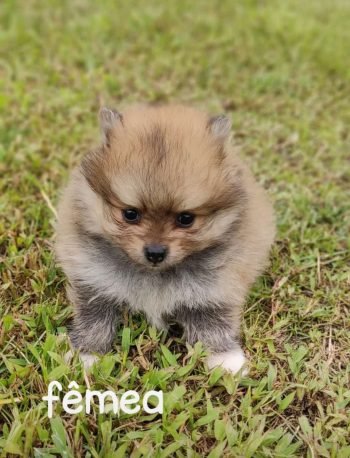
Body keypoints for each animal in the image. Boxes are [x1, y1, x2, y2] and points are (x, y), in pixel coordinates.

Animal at [56, 105, 274, 374]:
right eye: (130, 214)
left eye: (186, 219)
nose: (155, 252)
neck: (154, 274)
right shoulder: (93, 278)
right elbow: (93, 318)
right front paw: (86, 354)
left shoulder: (216, 285)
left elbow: (213, 320)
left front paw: (226, 361)